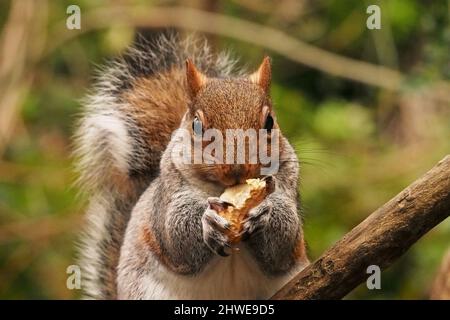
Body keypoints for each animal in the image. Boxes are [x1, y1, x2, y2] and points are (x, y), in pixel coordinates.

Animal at [74, 33, 310, 298]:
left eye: (269, 122)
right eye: (196, 125)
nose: (237, 168)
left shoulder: (289, 183)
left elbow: (284, 243)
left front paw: (264, 212)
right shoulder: (170, 193)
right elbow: (176, 238)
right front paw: (208, 223)